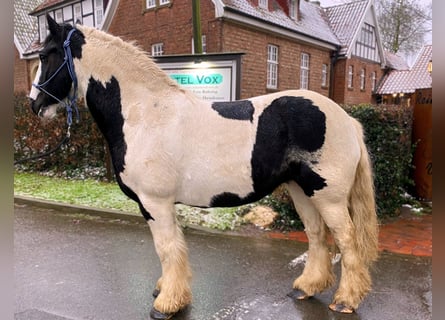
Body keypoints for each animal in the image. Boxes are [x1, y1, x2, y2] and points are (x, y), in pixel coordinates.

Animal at [30, 15, 378, 320]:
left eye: (46, 55)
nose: (35, 105)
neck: (143, 113)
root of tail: (347, 120)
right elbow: (172, 249)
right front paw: (167, 291)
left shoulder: (155, 203)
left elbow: (167, 249)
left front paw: (167, 304)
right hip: (301, 190)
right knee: (317, 236)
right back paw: (307, 287)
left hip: (328, 197)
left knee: (347, 241)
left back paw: (345, 300)